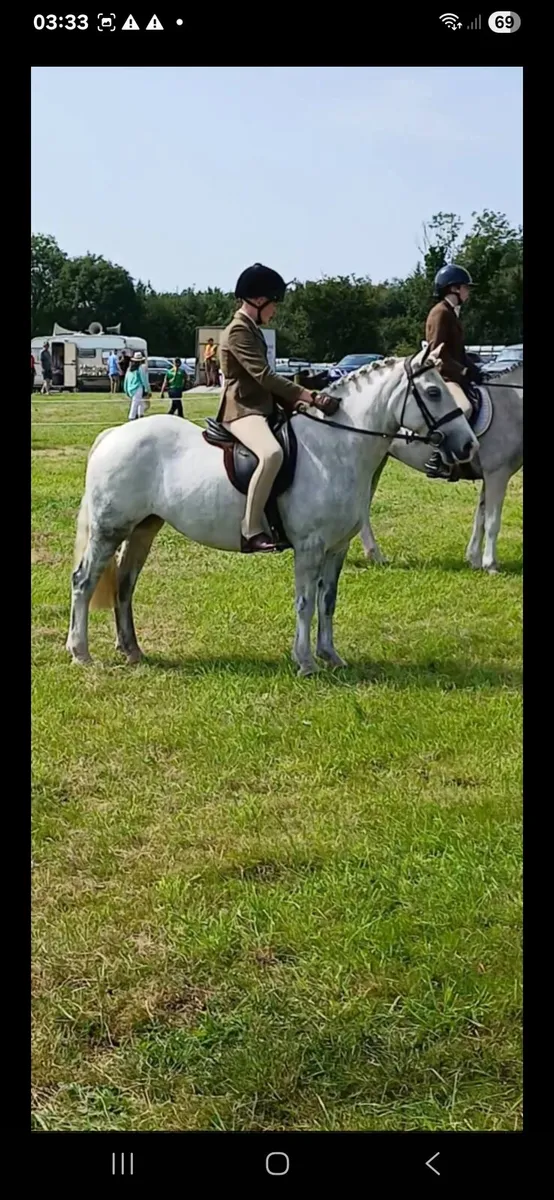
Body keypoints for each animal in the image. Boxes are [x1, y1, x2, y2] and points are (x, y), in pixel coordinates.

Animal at [66, 347, 478, 676]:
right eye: (434, 392)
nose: (468, 447)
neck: (334, 446)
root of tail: (113, 435)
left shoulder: (336, 548)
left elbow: (328, 601)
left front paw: (330, 656)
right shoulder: (310, 547)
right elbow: (305, 602)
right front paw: (306, 662)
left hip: (143, 529)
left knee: (124, 585)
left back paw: (132, 650)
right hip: (109, 530)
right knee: (84, 581)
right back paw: (80, 653)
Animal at [360, 363, 523, 574]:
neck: (512, 402)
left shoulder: (490, 477)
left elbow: (480, 517)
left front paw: (474, 560)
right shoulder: (498, 474)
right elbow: (492, 521)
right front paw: (491, 565)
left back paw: (374, 555)